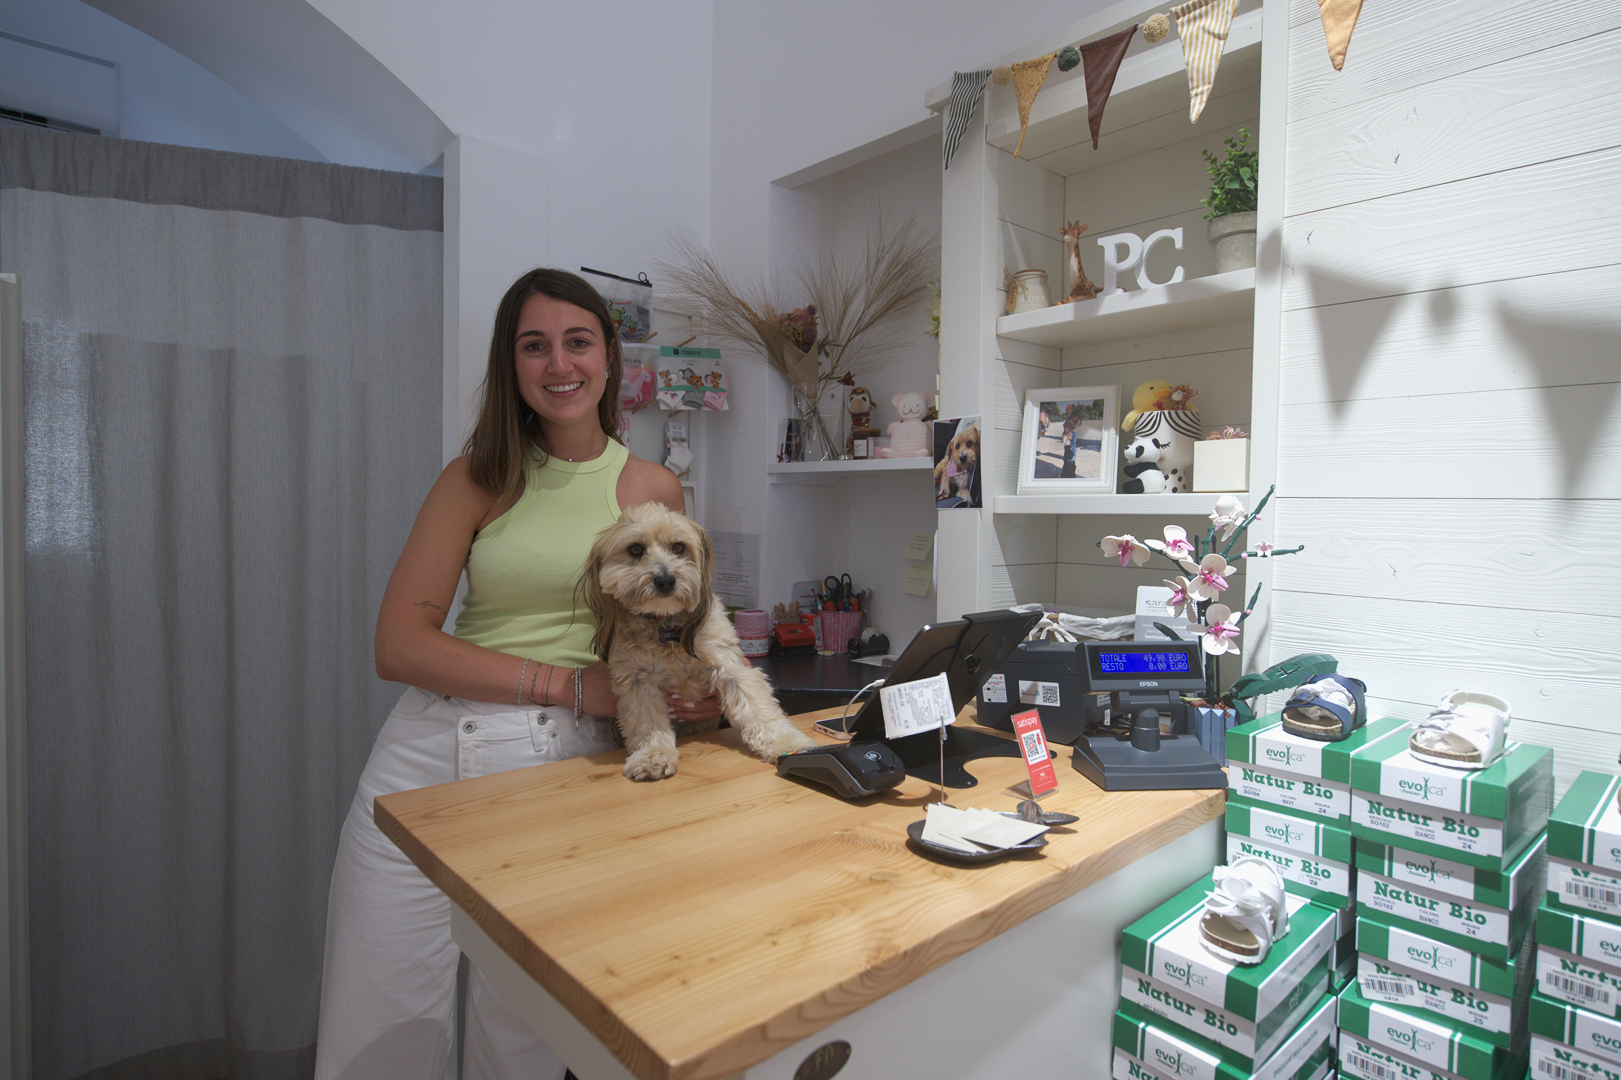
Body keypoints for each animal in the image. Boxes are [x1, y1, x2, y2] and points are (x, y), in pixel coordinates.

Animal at [579, 502, 816, 780]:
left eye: (678, 547)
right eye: (635, 549)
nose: (666, 580)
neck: (666, 625)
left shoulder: (730, 665)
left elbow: (759, 709)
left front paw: (786, 743)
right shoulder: (637, 682)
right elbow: (648, 724)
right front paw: (653, 755)